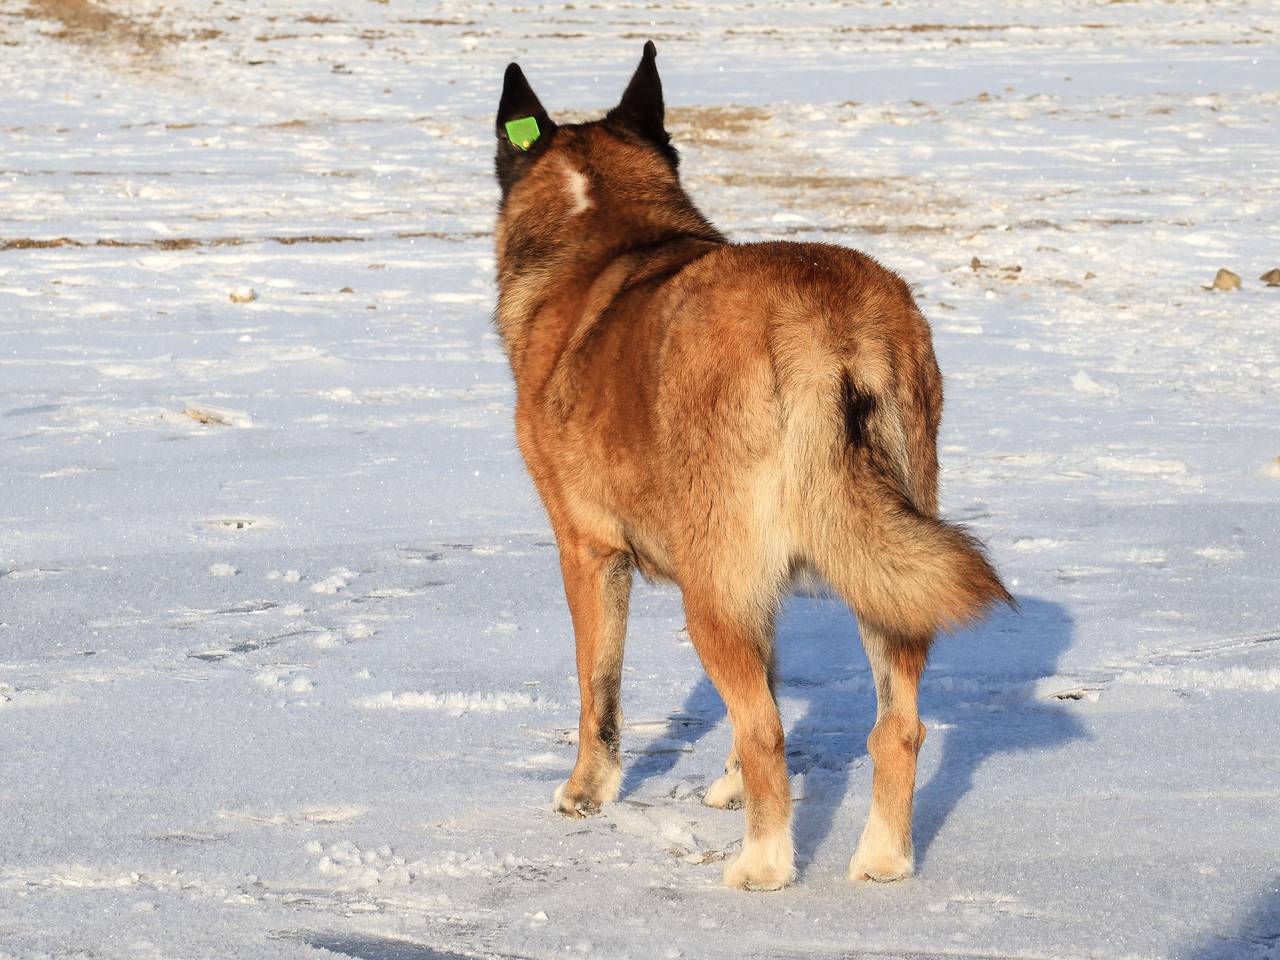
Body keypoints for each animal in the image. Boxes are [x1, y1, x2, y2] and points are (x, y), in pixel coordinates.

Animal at [488, 41, 1008, 890]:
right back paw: (882, 860)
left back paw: (763, 866)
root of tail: (824, 326)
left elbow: (600, 691)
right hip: (884, 570)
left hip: (711, 591)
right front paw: (730, 785)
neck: (607, 233)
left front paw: (585, 793)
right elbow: (760, 682)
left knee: (769, 730)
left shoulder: (590, 552)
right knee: (897, 726)